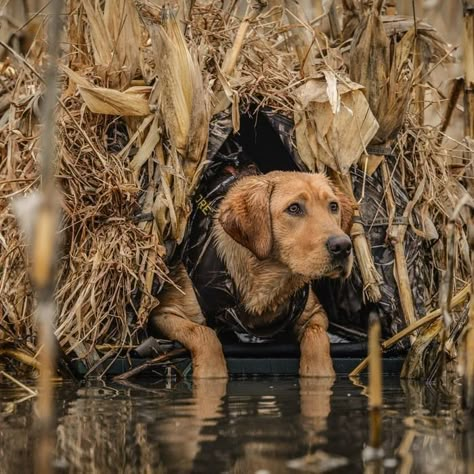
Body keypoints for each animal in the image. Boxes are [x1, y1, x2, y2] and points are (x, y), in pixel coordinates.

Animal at [150, 170, 354, 378]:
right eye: (294, 208)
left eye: (333, 206)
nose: (343, 246)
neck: (268, 281)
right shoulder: (165, 312)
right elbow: (203, 333)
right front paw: (211, 371)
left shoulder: (315, 312)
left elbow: (316, 335)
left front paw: (319, 370)